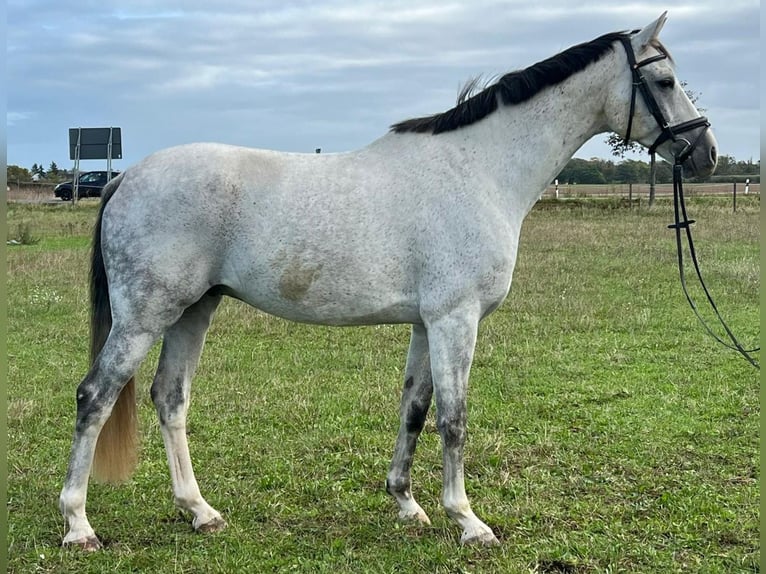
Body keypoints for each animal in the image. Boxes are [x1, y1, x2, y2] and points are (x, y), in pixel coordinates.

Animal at [60, 13, 720, 552]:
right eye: (664, 81)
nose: (706, 153)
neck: (480, 169)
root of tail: (126, 178)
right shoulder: (456, 318)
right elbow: (454, 417)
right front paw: (468, 521)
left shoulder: (428, 323)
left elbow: (415, 408)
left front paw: (407, 503)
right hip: (145, 315)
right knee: (95, 397)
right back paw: (79, 525)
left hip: (193, 311)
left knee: (170, 398)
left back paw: (200, 511)